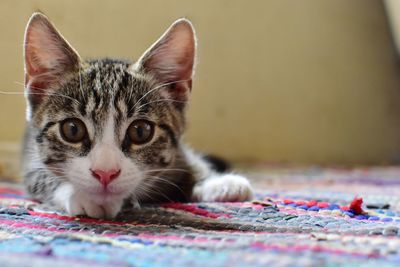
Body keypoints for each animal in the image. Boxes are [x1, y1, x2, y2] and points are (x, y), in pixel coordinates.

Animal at [21, 12, 252, 220]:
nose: (105, 173)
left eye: (140, 131)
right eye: (72, 130)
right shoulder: (30, 157)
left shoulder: (177, 152)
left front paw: (217, 182)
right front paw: (82, 195)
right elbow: (43, 176)